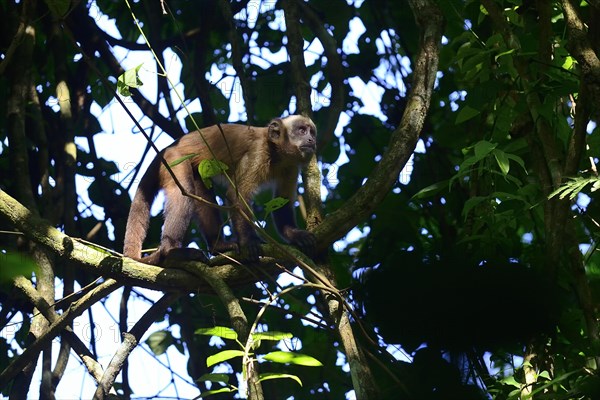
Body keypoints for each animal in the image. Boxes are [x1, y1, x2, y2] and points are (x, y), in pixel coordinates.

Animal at [123, 115, 318, 266]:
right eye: (301, 130)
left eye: (312, 132)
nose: (312, 140)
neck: (276, 154)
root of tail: (166, 149)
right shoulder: (257, 153)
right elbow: (237, 197)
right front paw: (248, 241)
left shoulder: (291, 166)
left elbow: (282, 203)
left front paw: (295, 235)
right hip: (173, 161)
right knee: (184, 192)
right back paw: (171, 252)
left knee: (198, 187)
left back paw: (217, 246)